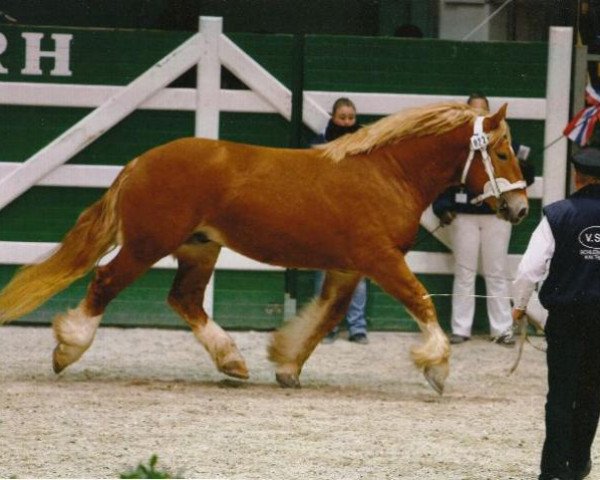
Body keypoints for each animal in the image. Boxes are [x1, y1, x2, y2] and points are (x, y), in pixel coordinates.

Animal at [0, 101, 528, 394]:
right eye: (502, 152)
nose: (521, 208)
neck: (386, 173)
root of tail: (139, 162)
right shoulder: (380, 259)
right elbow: (421, 300)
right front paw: (436, 367)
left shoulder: (349, 267)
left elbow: (326, 316)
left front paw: (288, 363)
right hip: (149, 244)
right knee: (106, 282)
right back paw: (68, 349)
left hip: (198, 248)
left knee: (184, 299)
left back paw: (232, 361)